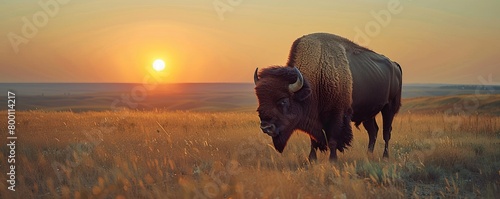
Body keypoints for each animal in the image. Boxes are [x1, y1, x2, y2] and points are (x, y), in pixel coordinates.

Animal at [254, 31, 402, 161]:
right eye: (260, 101)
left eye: (283, 101)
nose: (266, 127)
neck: (317, 77)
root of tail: (394, 64)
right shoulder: (314, 118)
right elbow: (313, 140)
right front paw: (311, 159)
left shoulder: (336, 115)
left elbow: (332, 140)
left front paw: (332, 160)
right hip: (367, 113)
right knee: (373, 131)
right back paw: (368, 155)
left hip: (389, 107)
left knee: (386, 132)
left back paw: (385, 156)